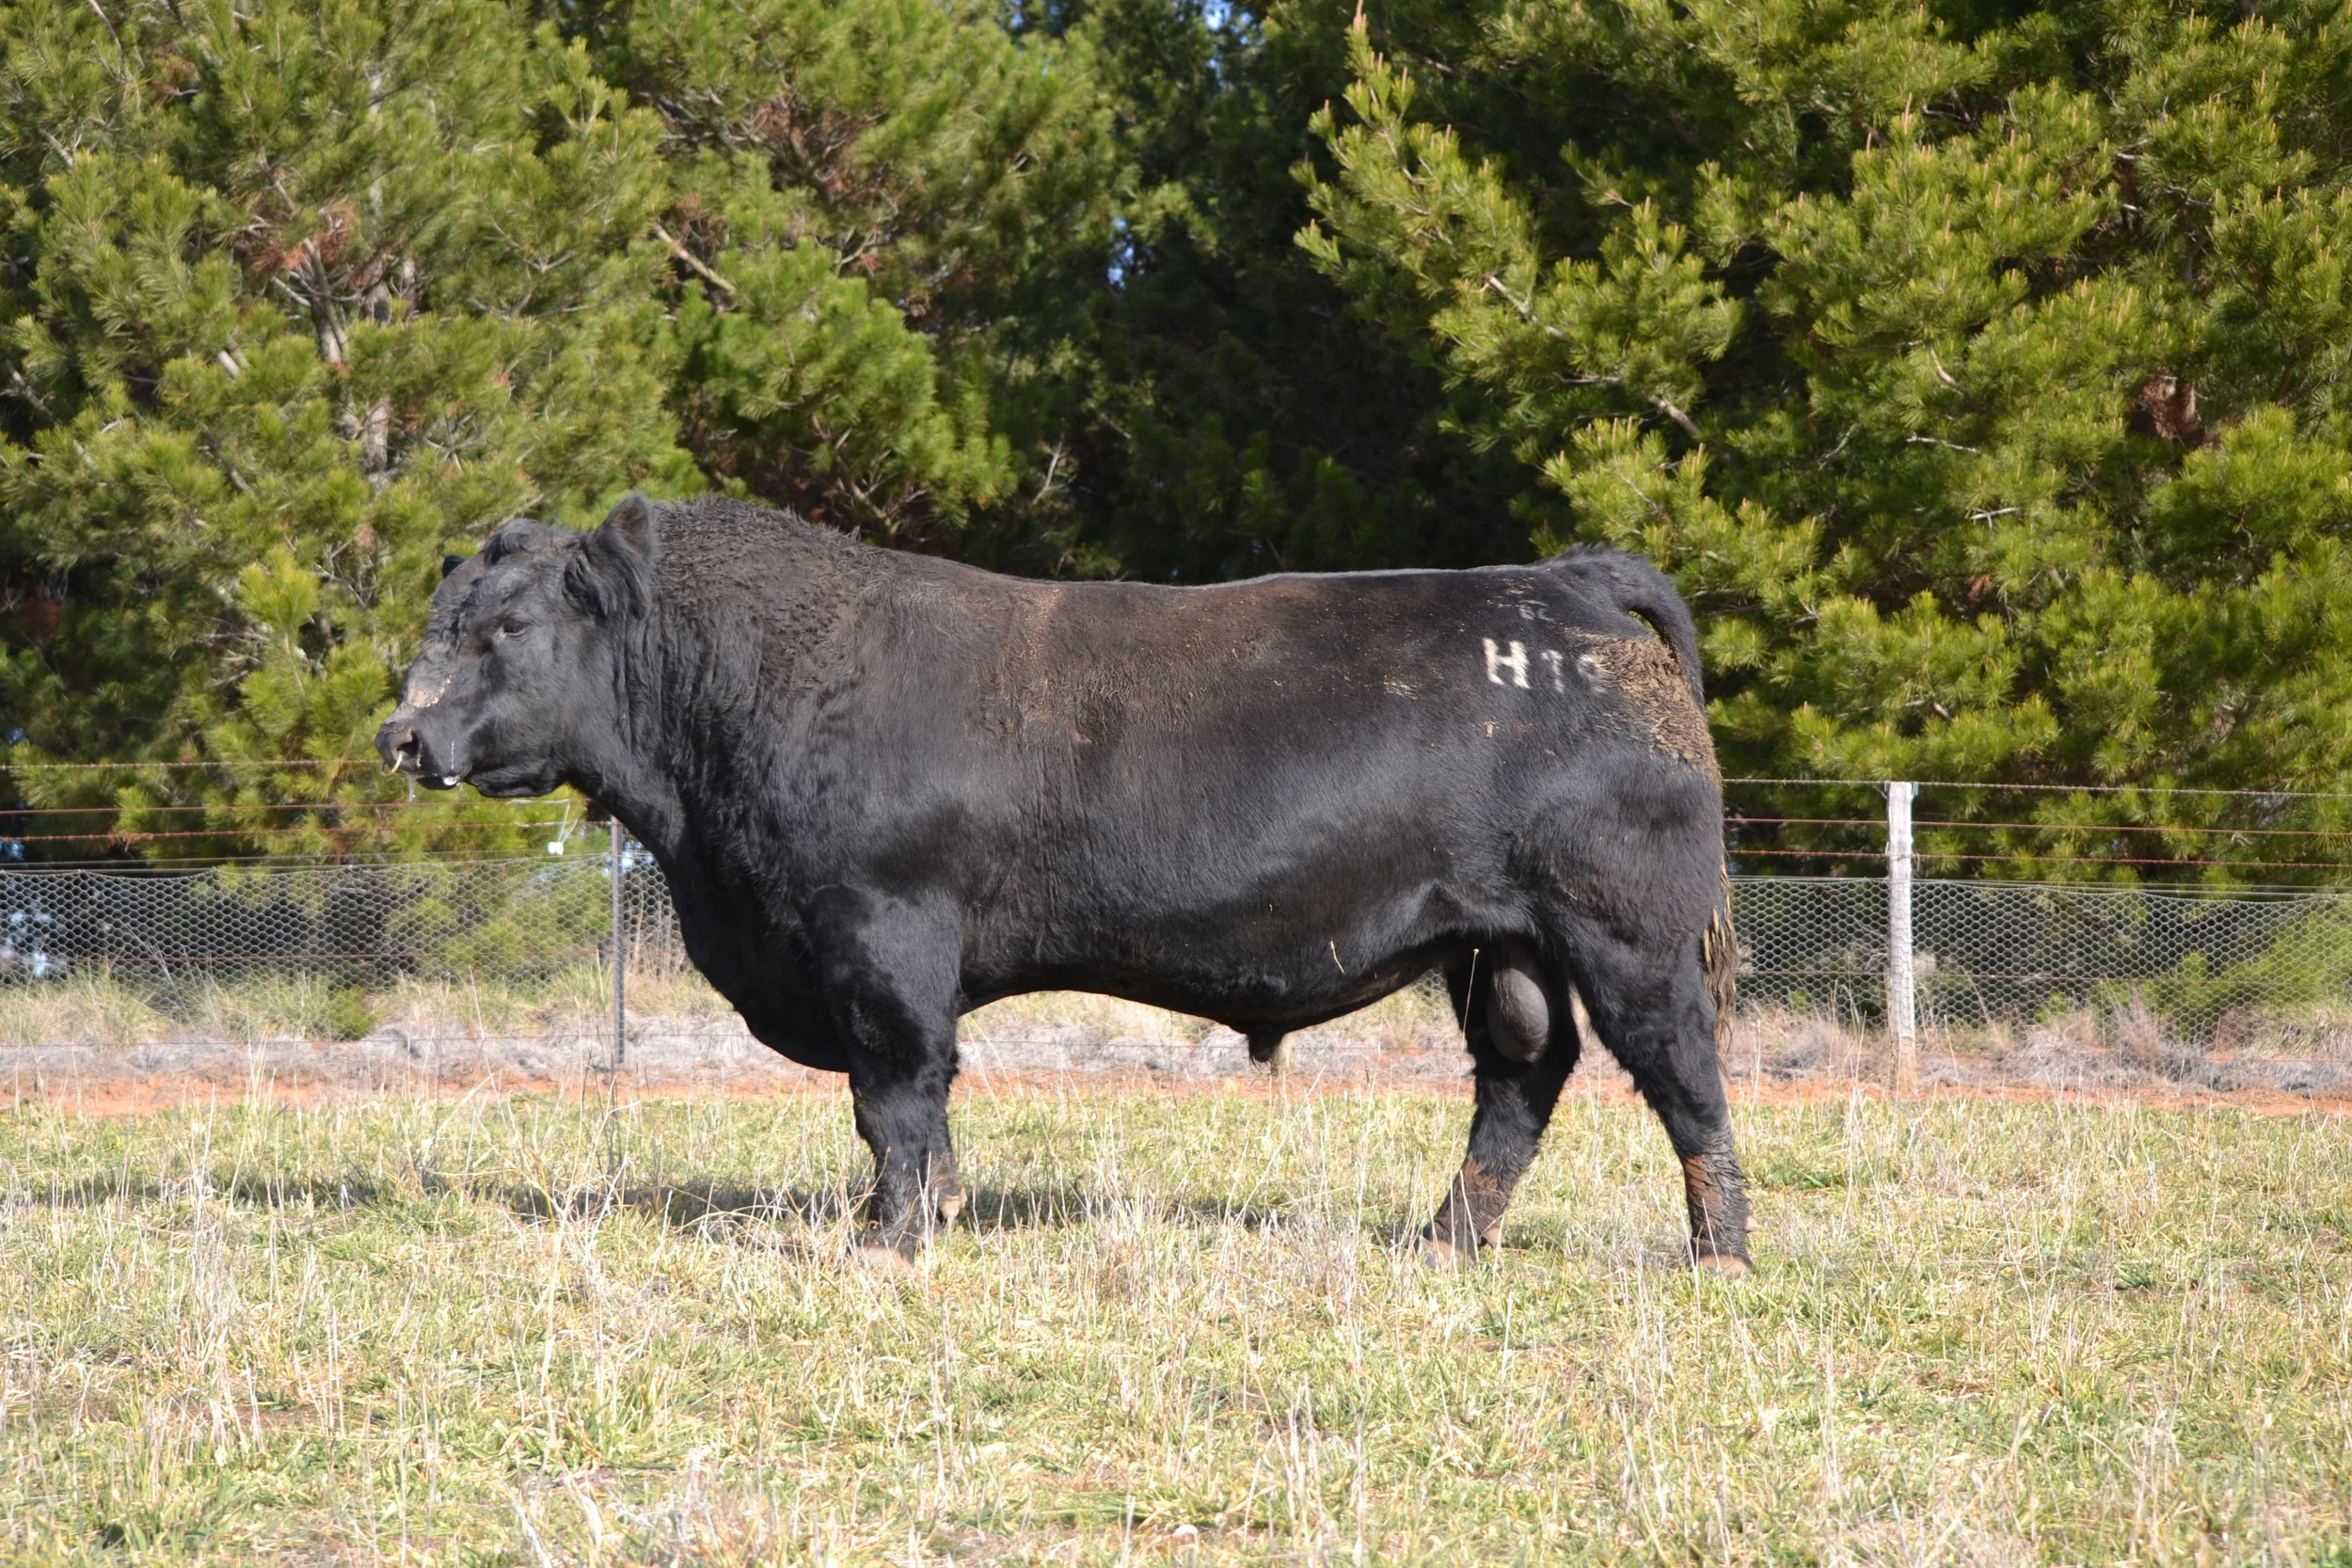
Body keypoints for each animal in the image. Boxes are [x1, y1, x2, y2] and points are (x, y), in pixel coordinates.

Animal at [377, 495, 1751, 1271]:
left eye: (503, 627)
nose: (401, 734)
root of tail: (1562, 581)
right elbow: (904, 1112)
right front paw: (914, 1220)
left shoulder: (883, 938)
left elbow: (896, 1098)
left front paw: (890, 1238)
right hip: (1495, 945)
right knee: (1522, 1075)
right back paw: (1446, 1241)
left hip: (1626, 935)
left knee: (1685, 1081)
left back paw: (1717, 1253)